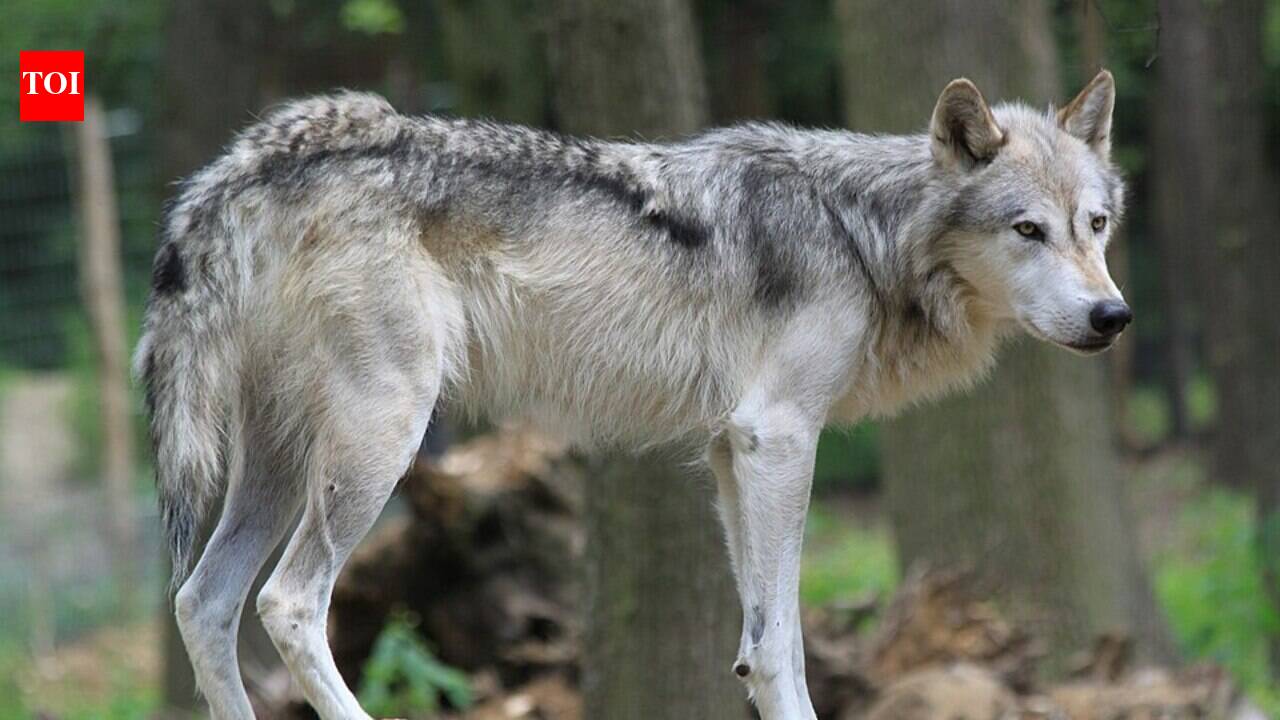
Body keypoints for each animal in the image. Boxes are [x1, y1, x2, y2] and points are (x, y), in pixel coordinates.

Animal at [135, 70, 1128, 720]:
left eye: (1097, 225)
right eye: (1027, 230)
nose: (1112, 315)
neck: (861, 233)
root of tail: (263, 157)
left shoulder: (732, 452)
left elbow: (760, 648)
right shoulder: (778, 438)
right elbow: (780, 648)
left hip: (280, 464)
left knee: (203, 603)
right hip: (378, 445)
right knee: (288, 604)